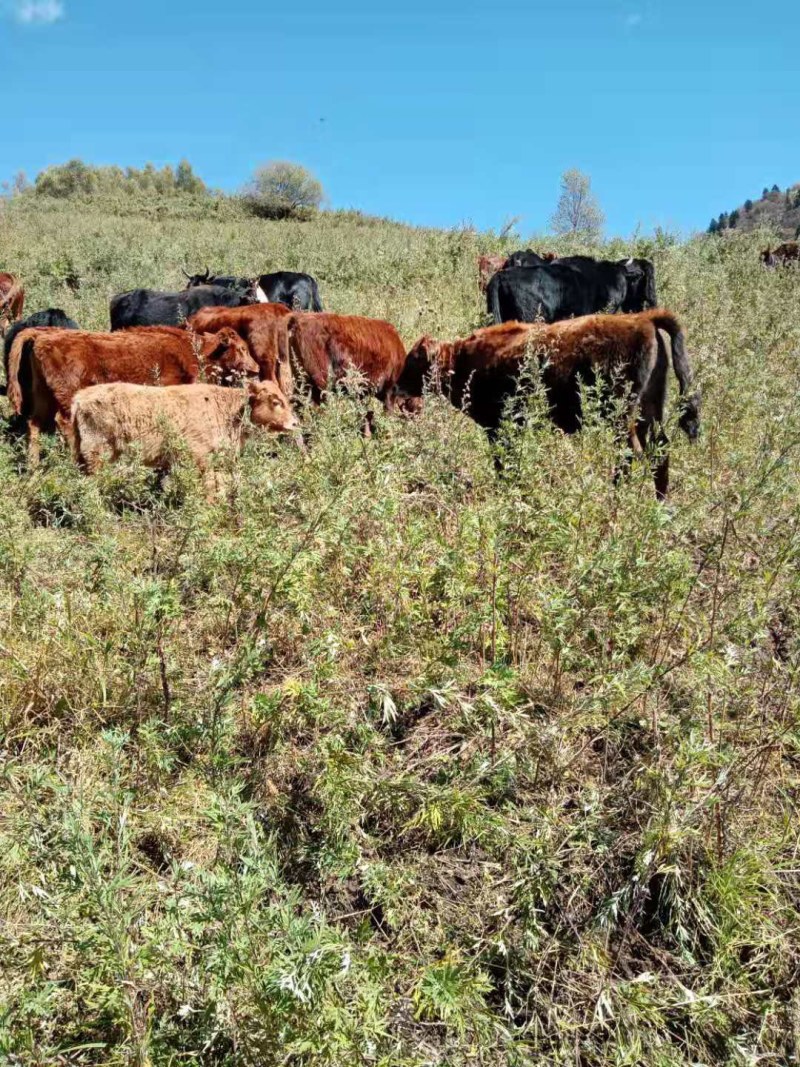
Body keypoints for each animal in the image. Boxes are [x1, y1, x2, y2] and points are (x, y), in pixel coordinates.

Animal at [7, 320, 258, 463]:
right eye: (242, 349)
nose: (256, 368)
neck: (195, 349)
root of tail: (43, 335)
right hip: (67, 396)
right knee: (65, 423)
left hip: (44, 397)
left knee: (34, 424)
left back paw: (33, 467)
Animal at [401, 309, 699, 499]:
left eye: (413, 361)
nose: (398, 387)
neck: (463, 359)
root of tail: (643, 318)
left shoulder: (497, 429)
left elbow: (502, 462)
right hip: (649, 413)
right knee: (660, 450)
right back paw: (660, 503)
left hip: (621, 418)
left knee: (630, 454)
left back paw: (615, 498)